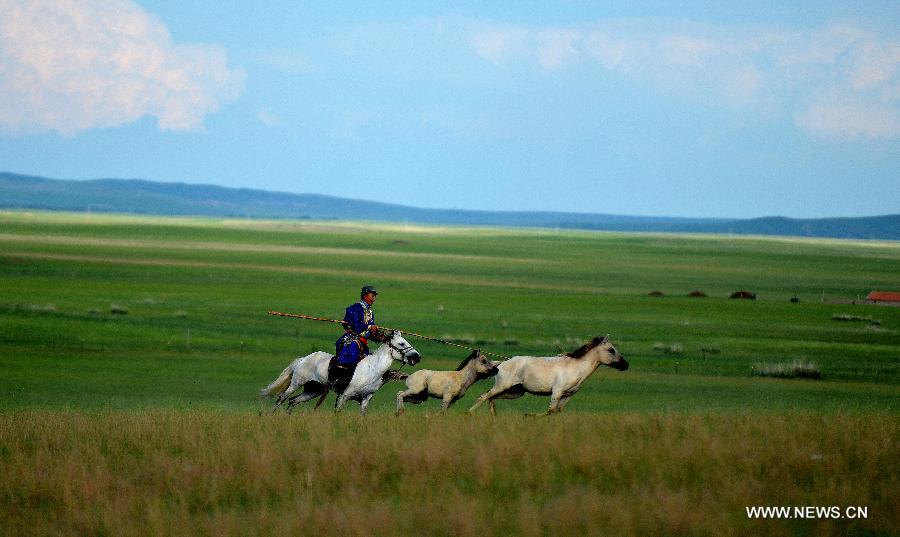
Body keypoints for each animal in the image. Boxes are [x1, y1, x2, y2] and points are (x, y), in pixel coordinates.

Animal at [256, 330, 418, 414]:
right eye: (401, 343)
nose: (417, 357)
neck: (372, 369)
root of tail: (303, 359)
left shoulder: (366, 398)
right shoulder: (345, 395)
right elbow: (338, 411)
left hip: (314, 390)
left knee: (293, 401)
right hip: (296, 384)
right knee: (281, 398)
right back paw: (272, 416)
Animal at [472, 332, 624, 416]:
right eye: (611, 350)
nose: (625, 365)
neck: (576, 367)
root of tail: (501, 364)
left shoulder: (567, 396)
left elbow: (556, 411)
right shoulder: (557, 391)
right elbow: (551, 410)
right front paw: (528, 415)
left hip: (515, 392)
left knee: (490, 397)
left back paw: (494, 417)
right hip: (502, 386)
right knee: (483, 397)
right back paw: (470, 413)